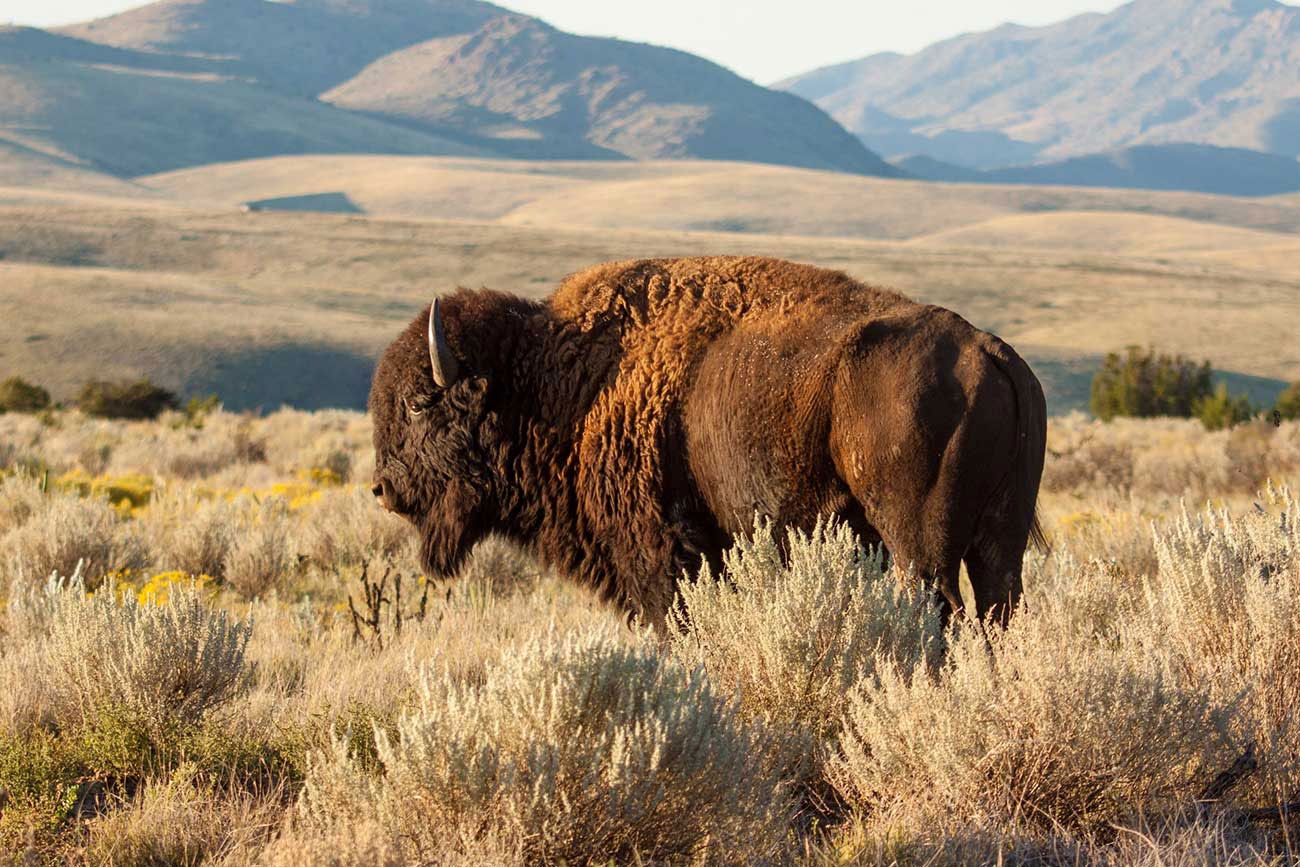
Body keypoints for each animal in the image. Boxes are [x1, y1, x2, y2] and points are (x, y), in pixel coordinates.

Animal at [369, 256, 1046, 627]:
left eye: (418, 403)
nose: (383, 489)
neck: (563, 379)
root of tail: (989, 352)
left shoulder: (661, 558)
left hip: (918, 548)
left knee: (939, 613)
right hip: (999, 544)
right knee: (997, 610)